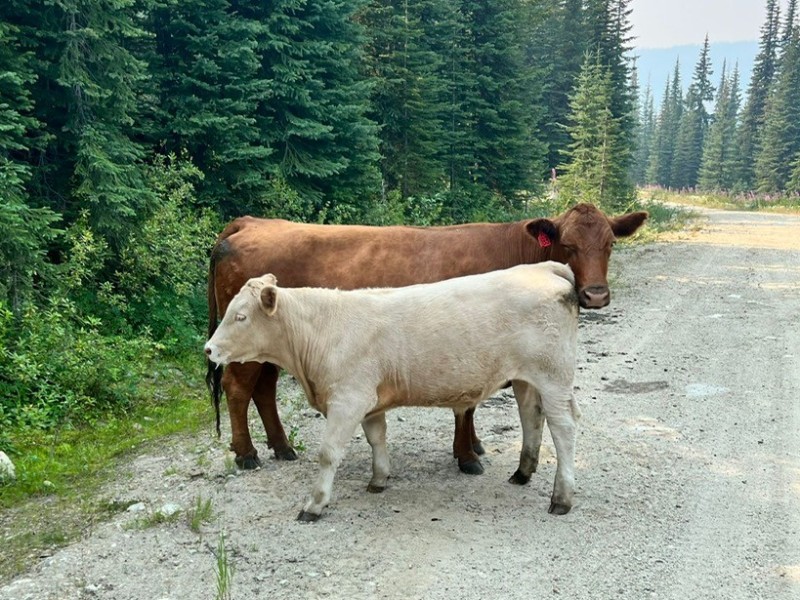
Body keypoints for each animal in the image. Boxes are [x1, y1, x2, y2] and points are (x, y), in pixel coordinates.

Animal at [205, 263, 581, 521]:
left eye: (241, 316)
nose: (208, 349)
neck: (323, 330)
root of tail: (542, 267)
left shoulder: (348, 399)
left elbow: (328, 453)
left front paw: (314, 504)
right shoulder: (369, 401)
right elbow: (376, 438)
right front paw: (379, 478)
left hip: (554, 376)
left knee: (563, 428)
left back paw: (561, 498)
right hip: (526, 378)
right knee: (531, 416)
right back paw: (522, 473)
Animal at [206, 203, 647, 473]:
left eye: (610, 243)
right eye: (567, 244)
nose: (595, 295)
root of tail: (252, 222)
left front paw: (474, 447)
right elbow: (466, 407)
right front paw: (467, 456)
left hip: (270, 348)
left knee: (263, 389)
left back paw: (282, 447)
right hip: (247, 344)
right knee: (237, 387)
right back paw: (247, 454)